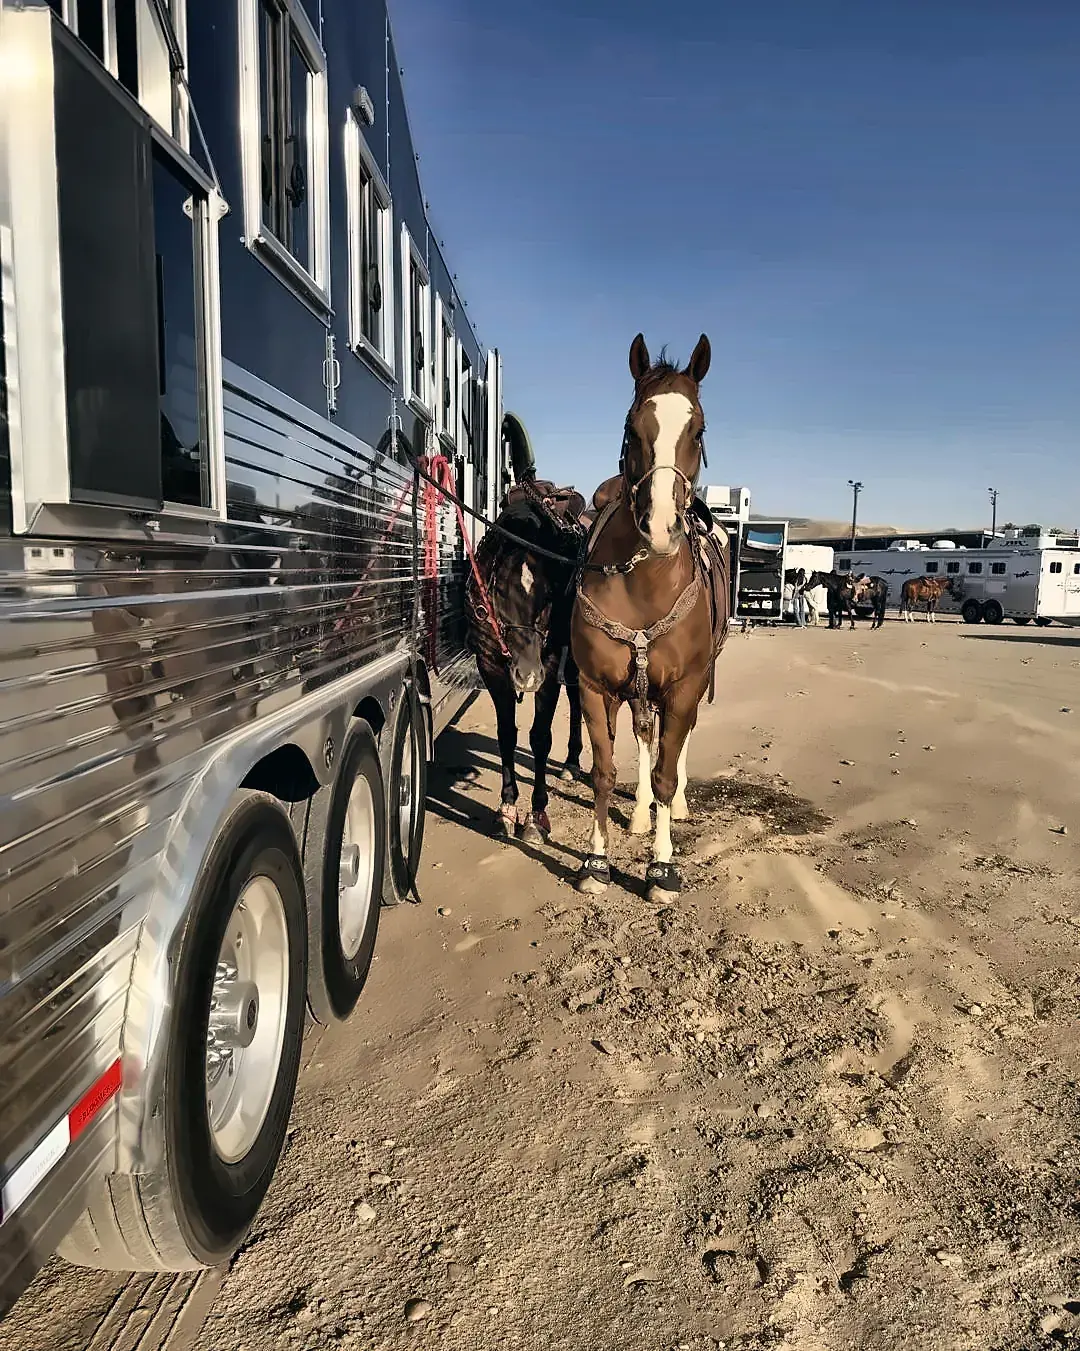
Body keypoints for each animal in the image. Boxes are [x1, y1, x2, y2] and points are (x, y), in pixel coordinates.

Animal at [466, 476, 586, 843]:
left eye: (549, 594)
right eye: (501, 591)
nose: (527, 676)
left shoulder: (549, 665)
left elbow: (540, 737)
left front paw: (536, 814)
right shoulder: (491, 666)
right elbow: (507, 734)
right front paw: (507, 807)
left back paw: (573, 762)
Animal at [570, 333, 729, 904]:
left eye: (698, 430)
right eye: (632, 427)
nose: (660, 525)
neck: (644, 584)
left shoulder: (684, 686)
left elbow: (665, 769)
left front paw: (661, 867)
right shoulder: (594, 686)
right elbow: (602, 770)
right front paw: (597, 860)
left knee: (673, 752)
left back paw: (673, 808)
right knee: (645, 739)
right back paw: (640, 813)